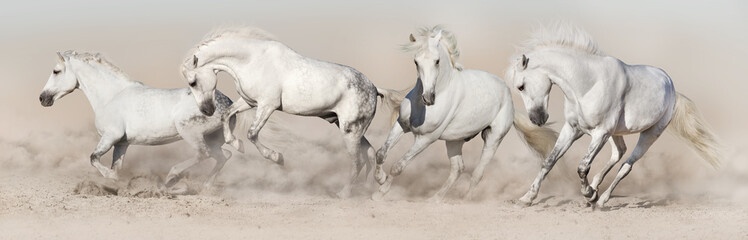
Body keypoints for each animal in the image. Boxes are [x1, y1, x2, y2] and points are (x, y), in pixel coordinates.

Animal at [39, 51, 237, 188]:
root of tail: (228, 103)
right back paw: (206, 186)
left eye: (56, 71)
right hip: (212, 138)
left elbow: (93, 158)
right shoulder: (121, 143)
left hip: (190, 133)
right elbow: (116, 165)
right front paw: (116, 183)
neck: (111, 96)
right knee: (223, 156)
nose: (42, 98)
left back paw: (171, 177)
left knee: (203, 154)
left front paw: (111, 177)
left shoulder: (110, 137)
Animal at [182, 27, 394, 198]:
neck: (252, 60)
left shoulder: (267, 105)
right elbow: (227, 115)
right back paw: (376, 185)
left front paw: (277, 157)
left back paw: (344, 193)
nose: (207, 110)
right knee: (370, 153)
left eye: (193, 82)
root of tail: (374, 88)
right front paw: (236, 143)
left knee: (358, 161)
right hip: (350, 129)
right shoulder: (250, 102)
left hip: (350, 131)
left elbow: (252, 134)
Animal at [372, 26, 560, 202]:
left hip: (493, 139)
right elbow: (381, 153)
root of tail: (507, 94)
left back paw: (465, 200)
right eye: (416, 61)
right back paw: (435, 199)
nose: (428, 98)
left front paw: (380, 193)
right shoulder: (401, 125)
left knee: (477, 173)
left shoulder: (426, 138)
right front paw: (379, 179)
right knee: (458, 169)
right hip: (454, 140)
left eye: (437, 61)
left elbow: (398, 166)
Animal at [506, 24, 720, 208]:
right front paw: (526, 198)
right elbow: (549, 161)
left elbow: (582, 167)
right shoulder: (573, 129)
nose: (537, 119)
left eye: (521, 86)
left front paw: (588, 194)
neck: (587, 85)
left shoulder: (600, 133)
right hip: (615, 133)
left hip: (650, 134)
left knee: (626, 165)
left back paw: (601, 200)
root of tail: (671, 86)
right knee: (619, 152)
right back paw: (595, 188)